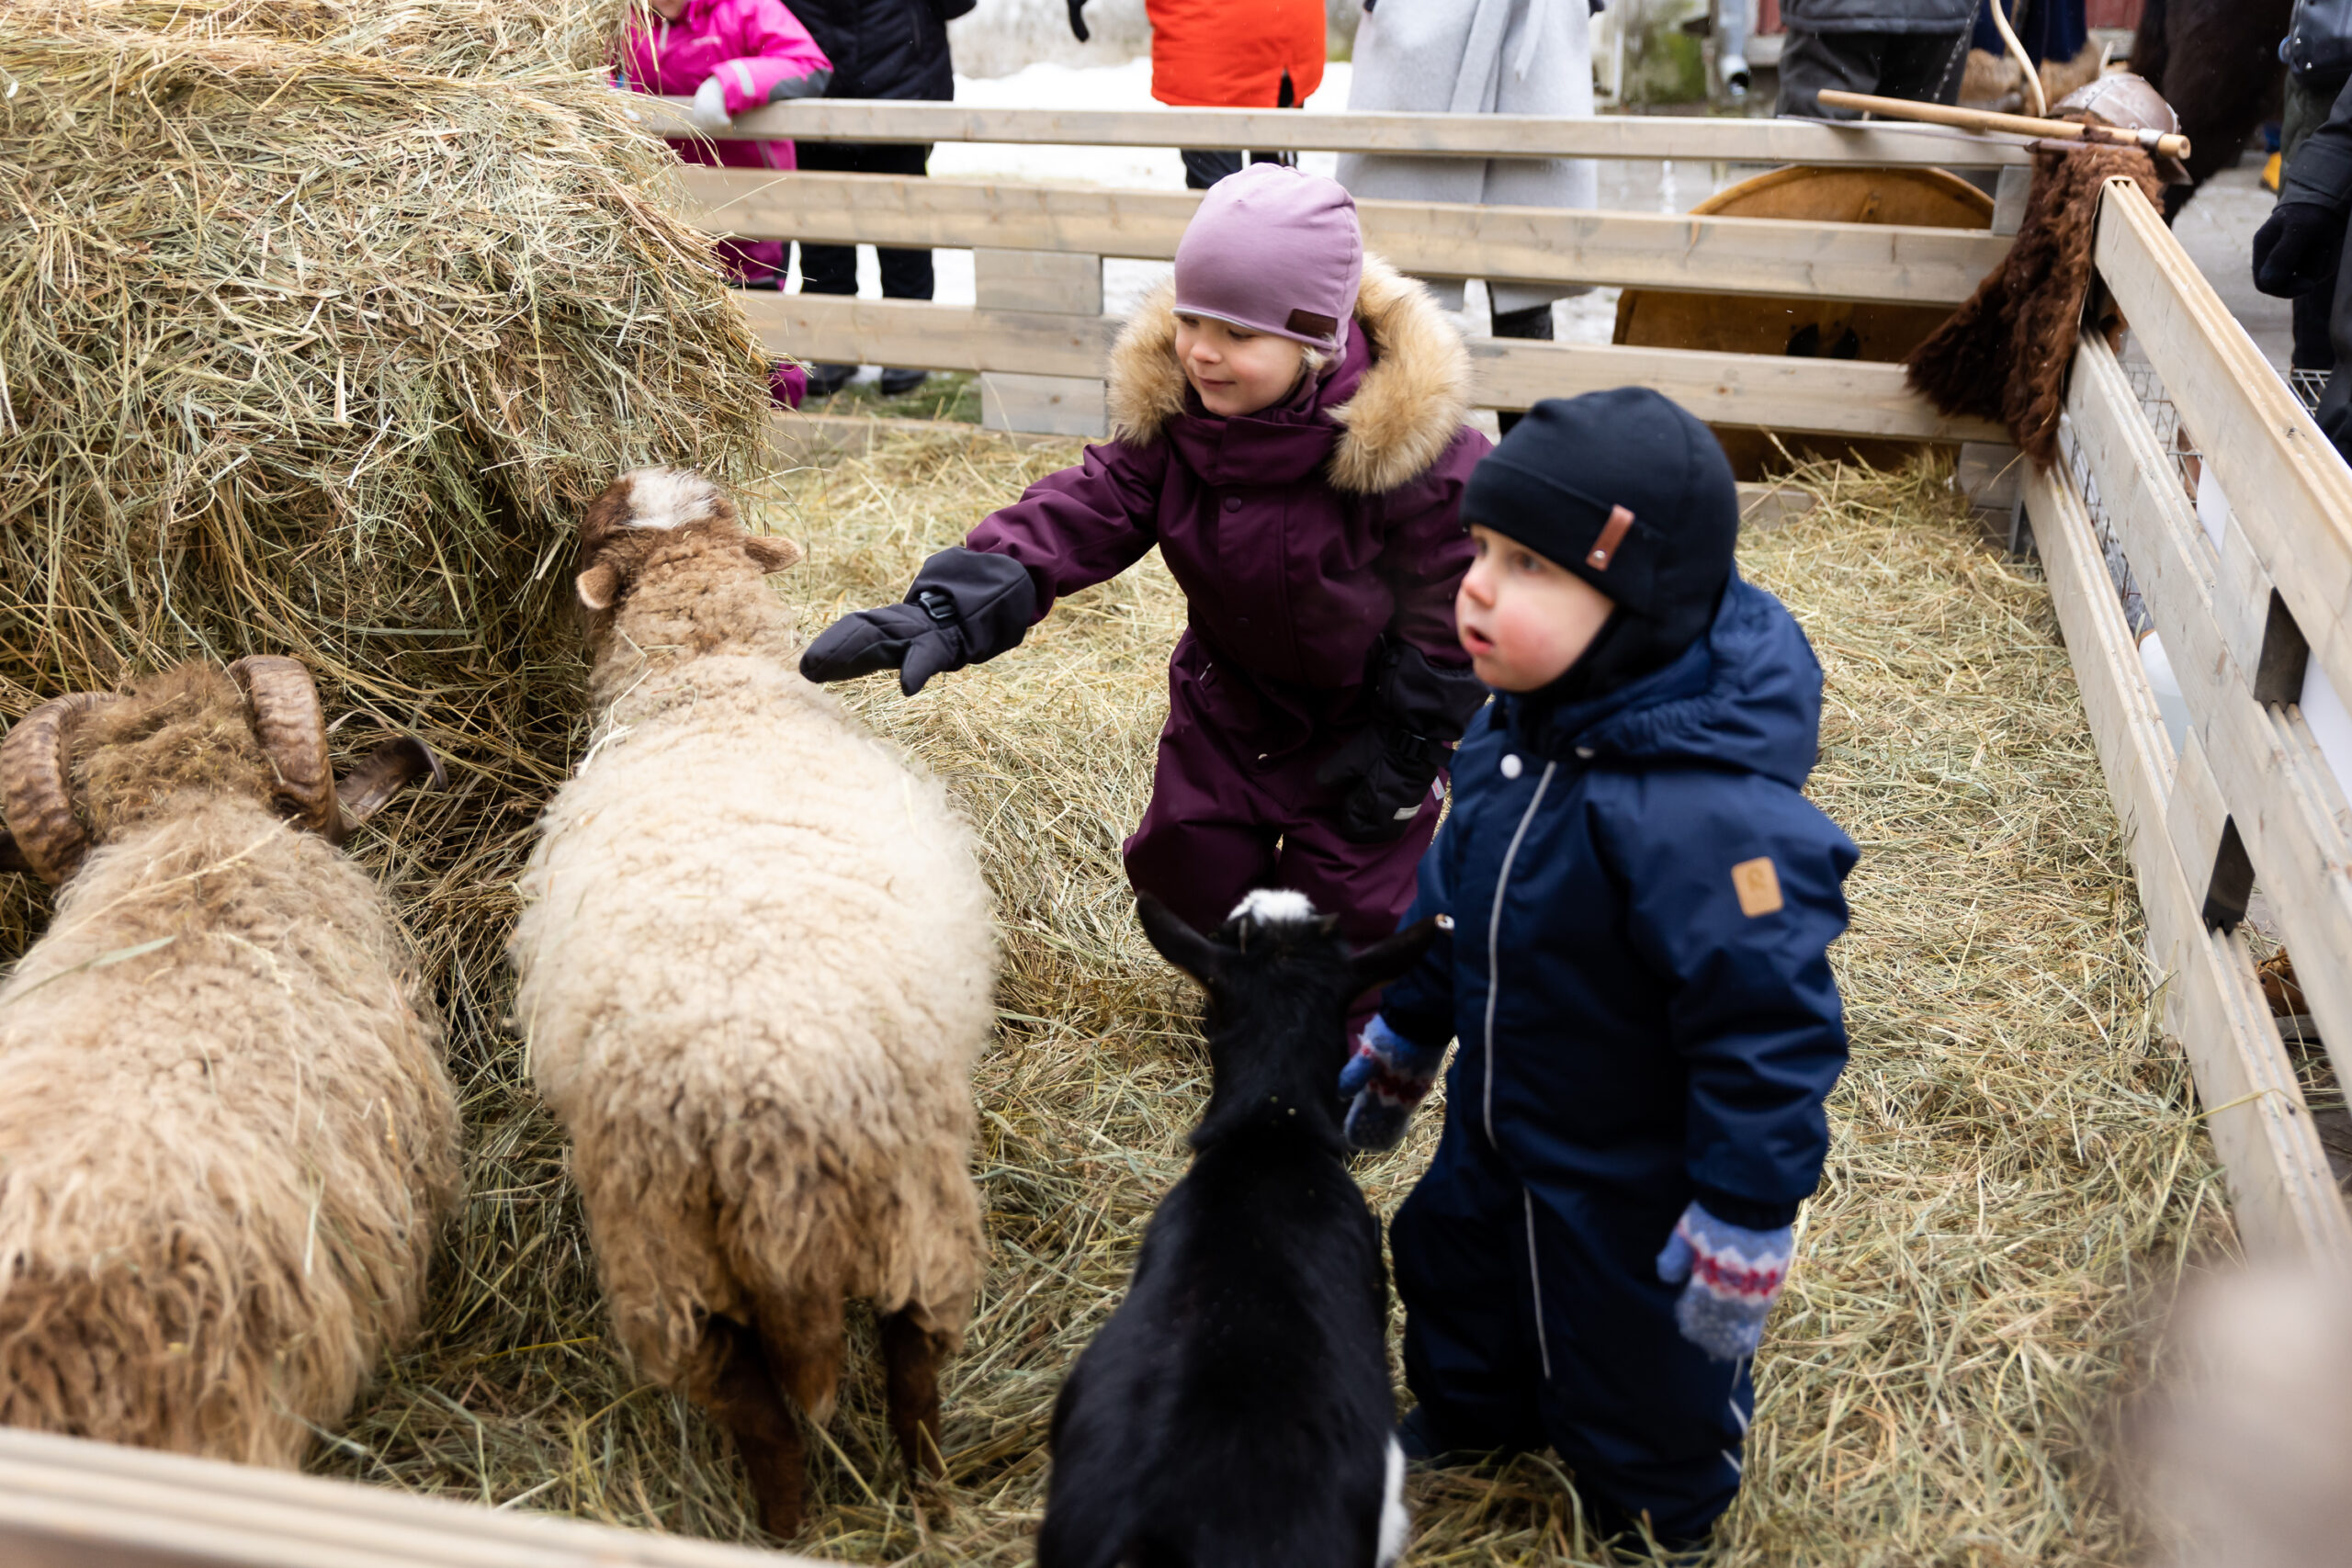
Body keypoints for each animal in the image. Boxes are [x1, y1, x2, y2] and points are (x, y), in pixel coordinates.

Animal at [514, 465, 992, 1541]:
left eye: (595, 520)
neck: (711, 678)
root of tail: (769, 1123)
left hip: (666, 1263)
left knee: (773, 1415)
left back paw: (790, 1527)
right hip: (911, 1203)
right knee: (911, 1376)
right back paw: (929, 1508)